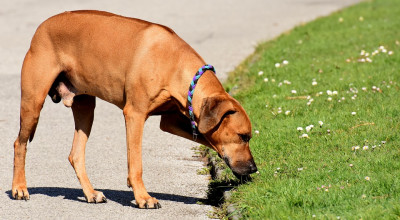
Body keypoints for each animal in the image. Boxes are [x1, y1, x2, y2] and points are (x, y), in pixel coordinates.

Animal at [12, 10, 258, 209]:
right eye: (243, 136)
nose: (254, 168)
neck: (175, 64)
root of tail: (42, 26)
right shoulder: (135, 115)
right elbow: (136, 163)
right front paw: (143, 197)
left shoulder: (171, 120)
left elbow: (206, 138)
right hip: (33, 103)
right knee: (19, 143)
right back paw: (19, 187)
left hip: (85, 105)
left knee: (76, 154)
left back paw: (90, 193)